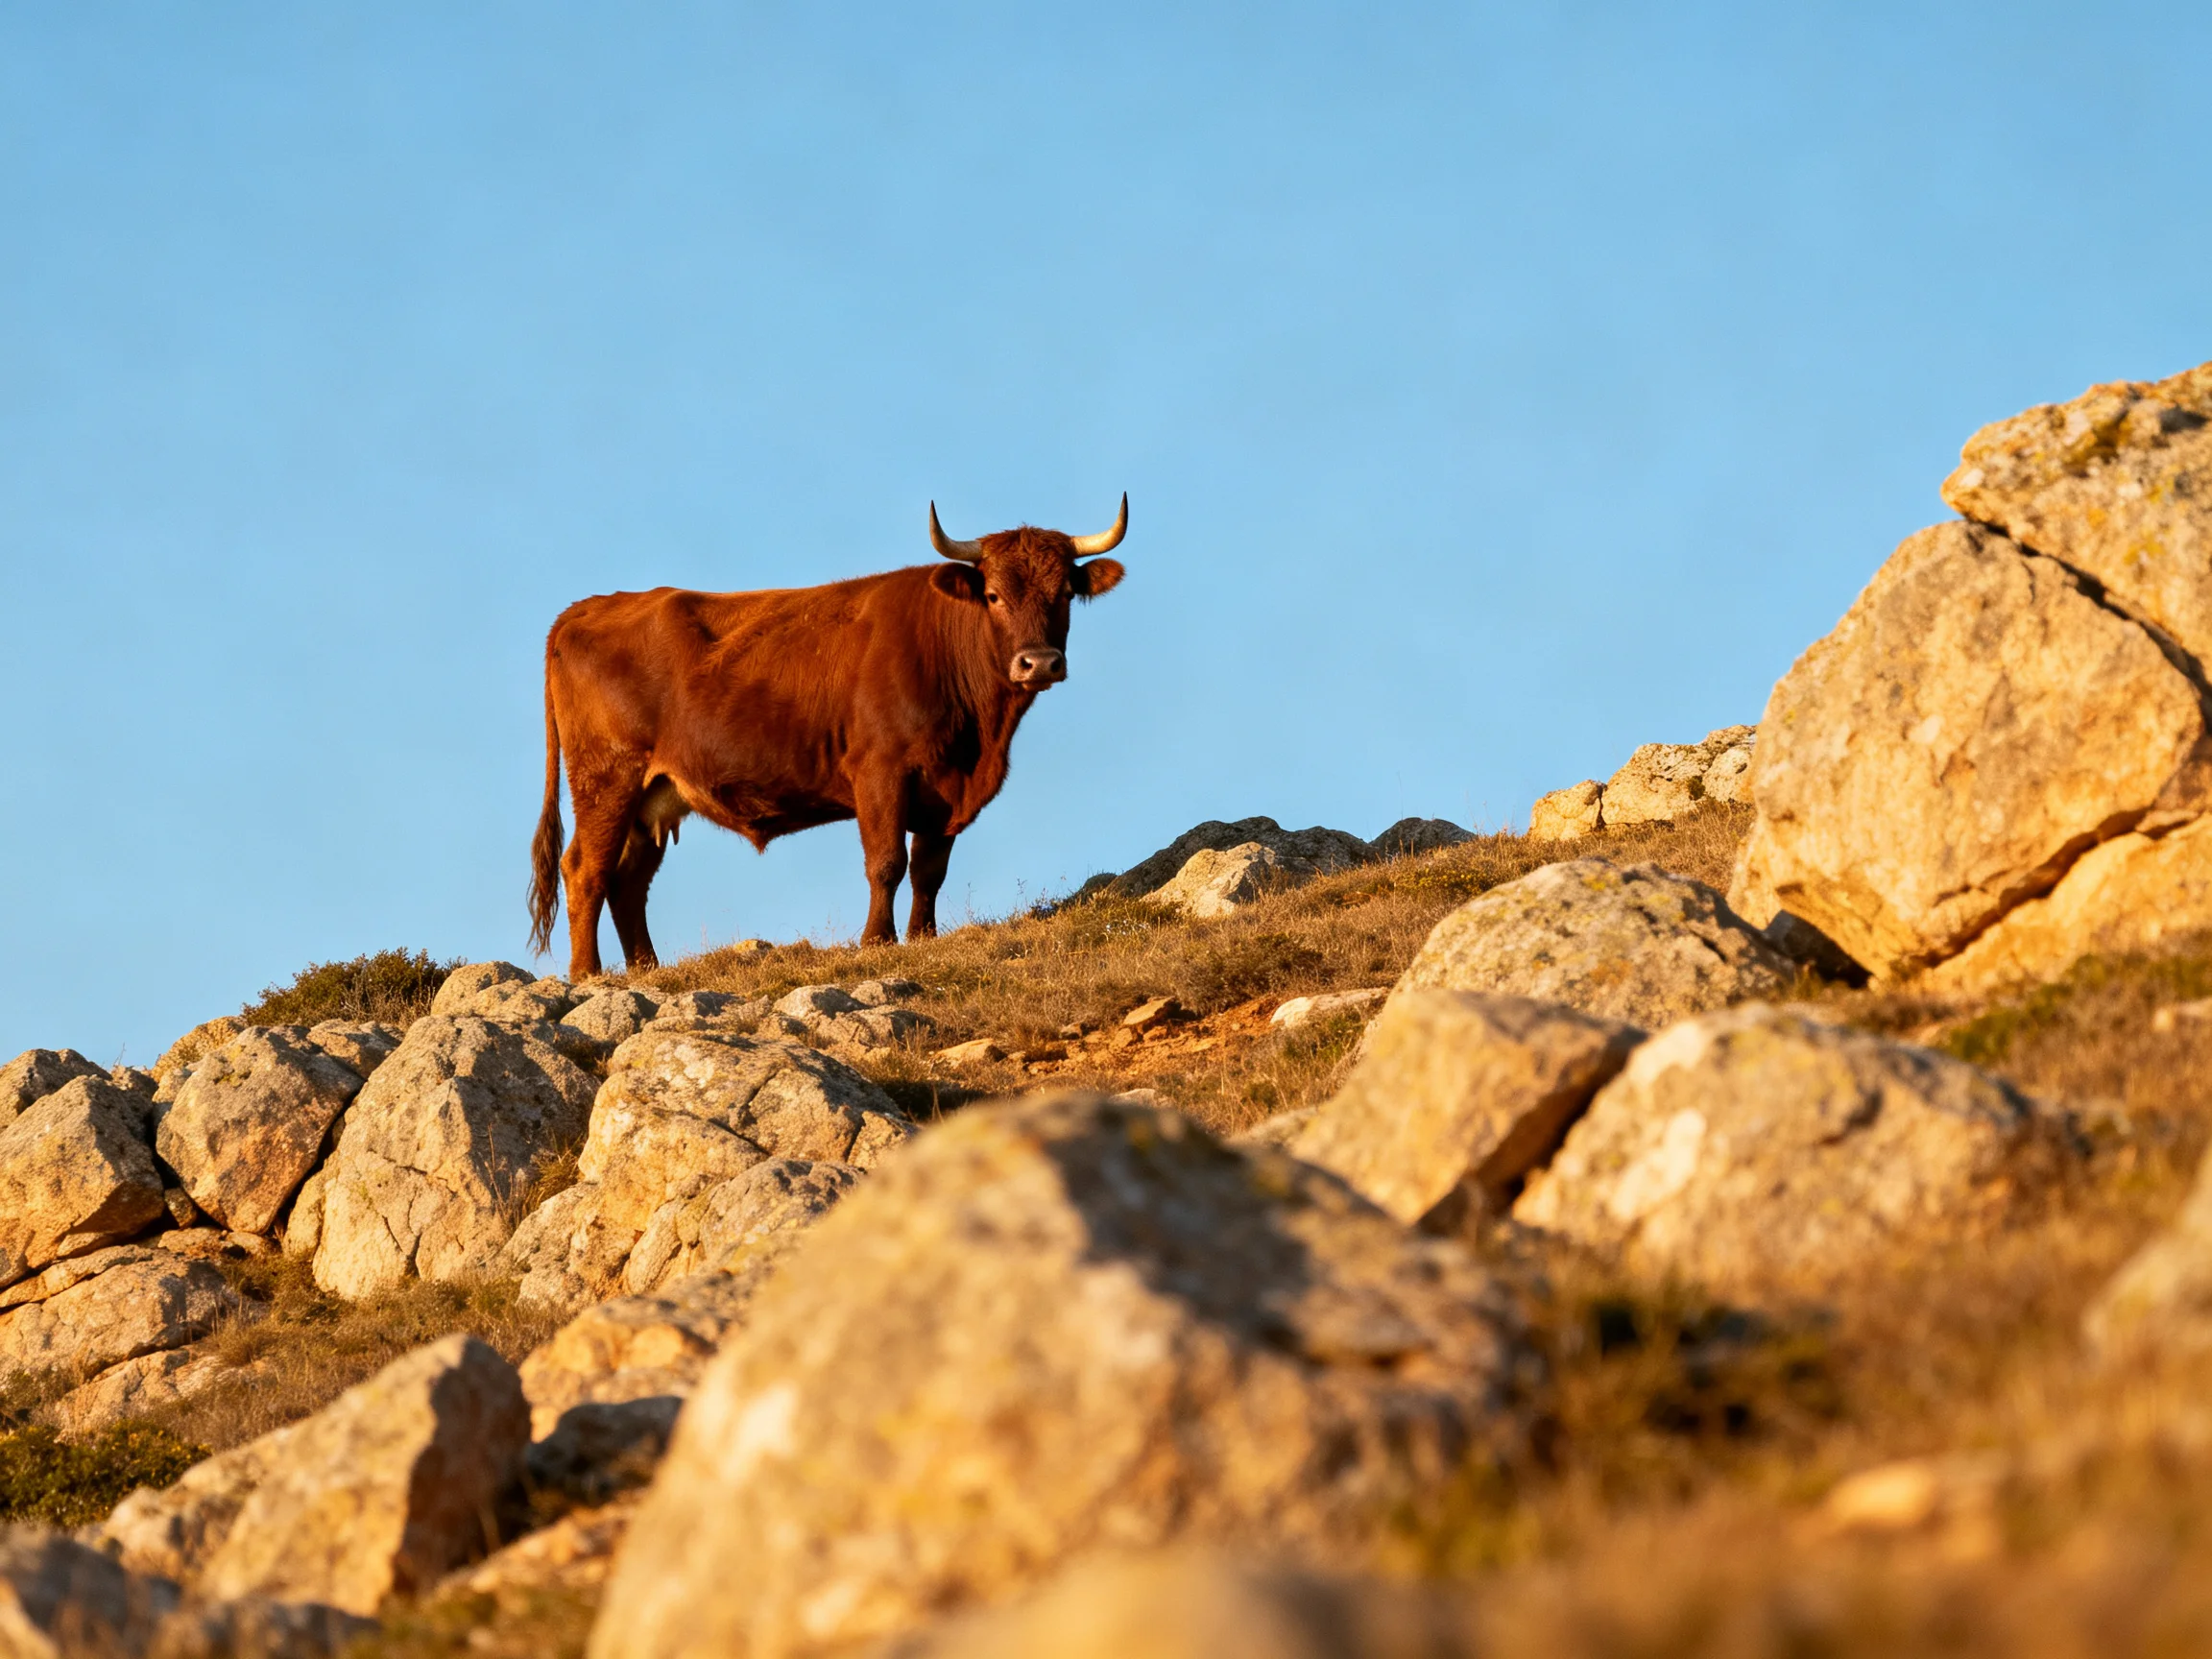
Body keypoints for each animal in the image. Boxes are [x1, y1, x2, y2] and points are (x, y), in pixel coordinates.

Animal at [526, 497, 1129, 978]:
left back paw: (646, 970)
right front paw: (878, 942)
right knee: (586, 870)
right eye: (995, 596)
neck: (979, 736)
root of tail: (588, 607)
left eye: (1065, 593)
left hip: (654, 795)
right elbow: (887, 862)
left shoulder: (945, 789)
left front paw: (924, 939)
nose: (1039, 662)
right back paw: (588, 975)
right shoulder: (881, 772)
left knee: (627, 881)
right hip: (607, 779)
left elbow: (930, 870)